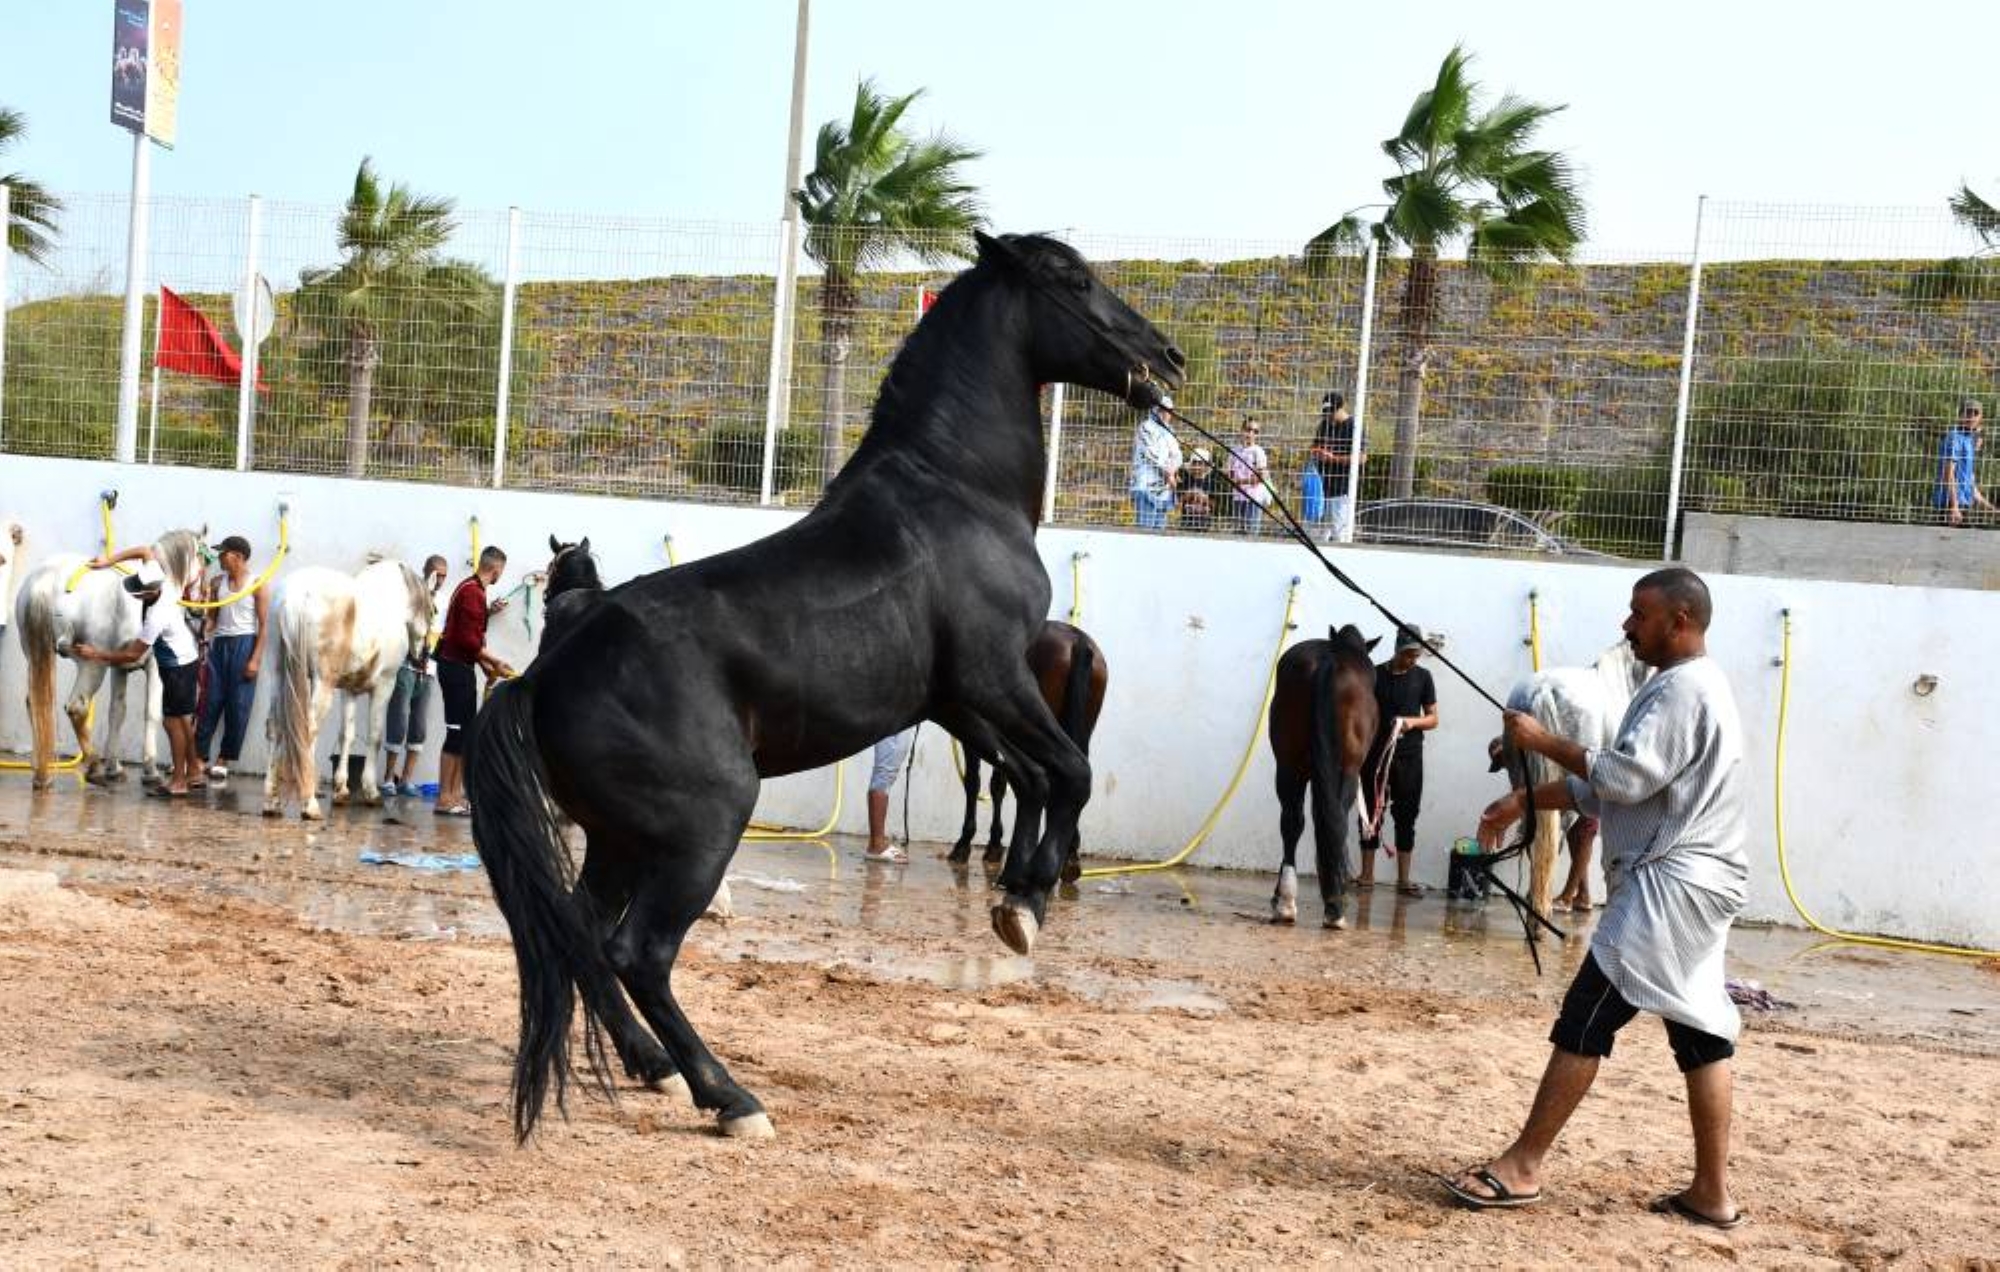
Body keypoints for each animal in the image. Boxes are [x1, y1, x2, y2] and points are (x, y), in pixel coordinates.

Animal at [262, 559, 431, 819]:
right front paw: (371, 791)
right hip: (322, 683)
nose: (423, 657)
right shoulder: (385, 685)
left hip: (277, 675)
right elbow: (375, 736)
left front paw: (341, 790)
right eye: (434, 610)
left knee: (275, 726)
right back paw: (309, 803)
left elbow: (346, 735)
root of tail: (296, 594)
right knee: (308, 729)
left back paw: (272, 802)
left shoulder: (348, 691)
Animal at [948, 619, 1107, 881]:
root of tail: (1078, 641)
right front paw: (994, 845)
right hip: (1080, 729)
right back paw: (1070, 857)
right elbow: (999, 784)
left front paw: (965, 844)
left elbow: (974, 783)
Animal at [1266, 625, 1382, 929]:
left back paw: (1285, 903)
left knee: (1292, 821)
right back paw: (1335, 906)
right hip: (1348, 770)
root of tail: (1330, 660)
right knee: (1335, 819)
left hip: (1288, 765)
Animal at [1496, 639, 1650, 921]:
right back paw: (1543, 909)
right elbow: (1585, 840)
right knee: (1555, 838)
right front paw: (1578, 901)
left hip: (1522, 783)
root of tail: (1544, 689)